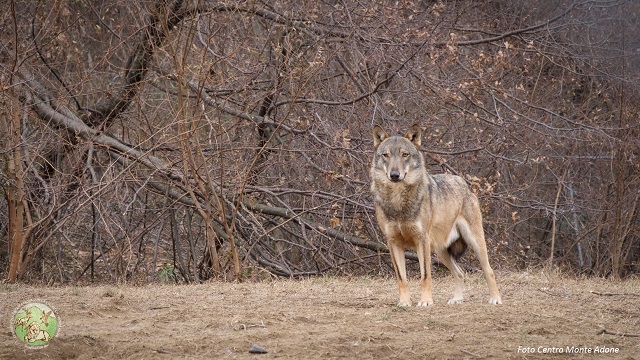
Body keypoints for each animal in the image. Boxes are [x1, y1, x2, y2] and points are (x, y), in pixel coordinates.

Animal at [372, 124, 502, 306]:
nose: (395, 175)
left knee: (489, 271)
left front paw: (426, 302)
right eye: (386, 155)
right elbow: (401, 278)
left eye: (405, 155)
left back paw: (495, 299)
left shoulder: (422, 241)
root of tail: (464, 183)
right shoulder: (393, 243)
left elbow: (425, 276)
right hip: (440, 251)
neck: (398, 200)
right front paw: (404, 303)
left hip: (474, 242)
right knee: (460, 273)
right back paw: (457, 299)